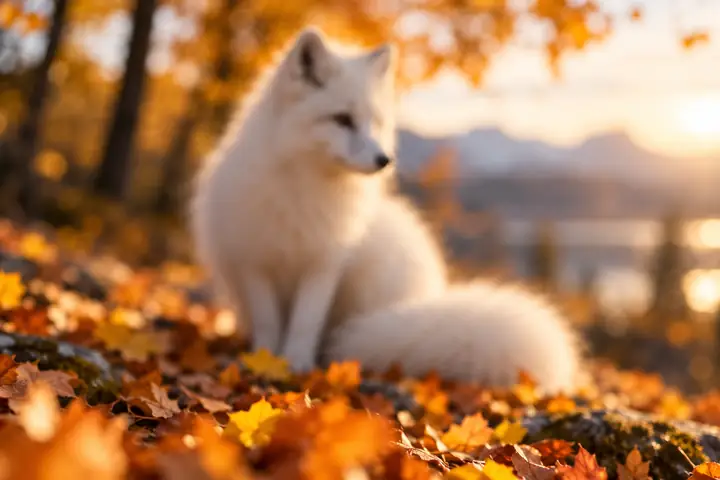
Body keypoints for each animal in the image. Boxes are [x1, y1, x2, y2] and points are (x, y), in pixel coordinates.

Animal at [190, 26, 582, 392]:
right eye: (342, 119)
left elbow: (305, 322)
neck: (303, 188)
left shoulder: (323, 263)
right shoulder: (255, 261)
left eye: (375, 124)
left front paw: (297, 362)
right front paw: (266, 359)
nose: (384, 160)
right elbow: (269, 323)